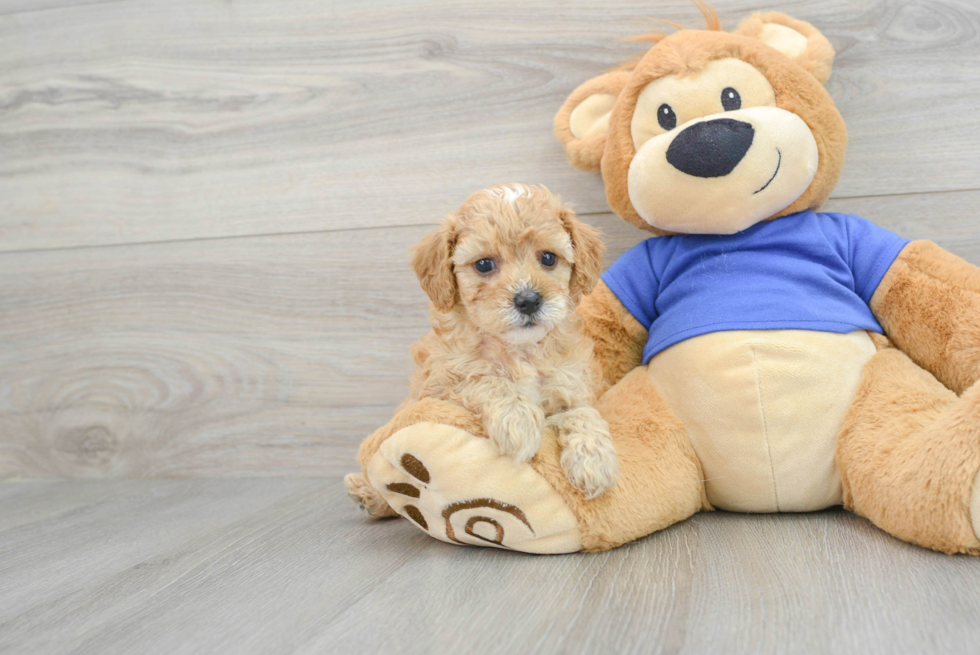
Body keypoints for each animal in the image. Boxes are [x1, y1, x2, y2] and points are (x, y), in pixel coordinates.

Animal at [348, 184, 616, 516]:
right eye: (484, 264)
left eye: (549, 258)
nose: (528, 300)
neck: (520, 349)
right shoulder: (440, 385)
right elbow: (484, 379)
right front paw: (519, 422)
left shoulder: (571, 383)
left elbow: (583, 413)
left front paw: (595, 460)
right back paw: (367, 495)